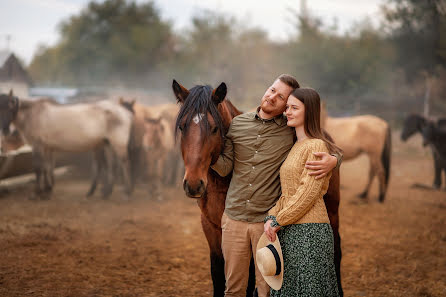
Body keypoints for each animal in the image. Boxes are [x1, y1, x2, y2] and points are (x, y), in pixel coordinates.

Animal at [172, 80, 344, 296]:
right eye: (182, 126)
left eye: (213, 128)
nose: (194, 184)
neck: (221, 183)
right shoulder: (210, 227)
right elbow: (218, 272)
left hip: (332, 213)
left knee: (335, 251)